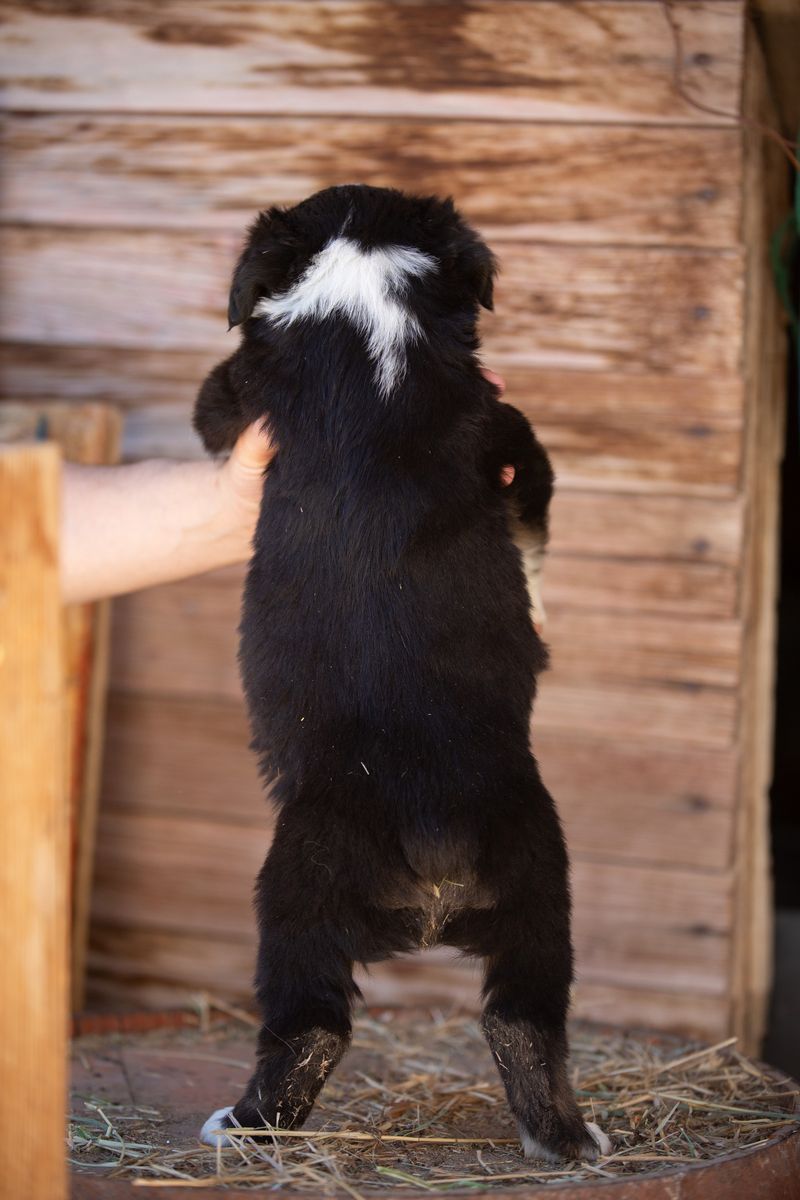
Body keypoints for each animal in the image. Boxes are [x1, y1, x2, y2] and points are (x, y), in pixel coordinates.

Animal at [193, 185, 609, 1162]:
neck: (369, 296)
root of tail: (433, 834)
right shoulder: (511, 439)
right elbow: (532, 518)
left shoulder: (236, 395)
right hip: (543, 882)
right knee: (525, 1018)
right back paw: (566, 1139)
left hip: (297, 882)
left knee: (310, 1021)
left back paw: (246, 1125)